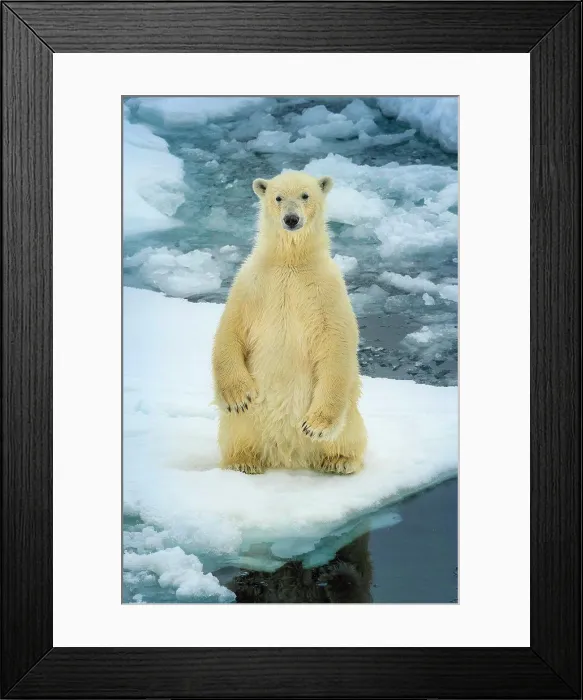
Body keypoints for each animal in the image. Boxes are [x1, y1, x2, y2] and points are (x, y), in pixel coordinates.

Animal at [212, 170, 367, 475]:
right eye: (278, 197)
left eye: (305, 195)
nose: (291, 219)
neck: (290, 262)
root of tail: (288, 457)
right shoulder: (250, 284)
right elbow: (230, 330)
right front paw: (239, 397)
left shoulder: (327, 291)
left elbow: (337, 344)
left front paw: (315, 426)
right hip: (246, 425)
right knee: (237, 430)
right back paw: (244, 461)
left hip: (350, 417)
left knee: (349, 431)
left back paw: (339, 460)